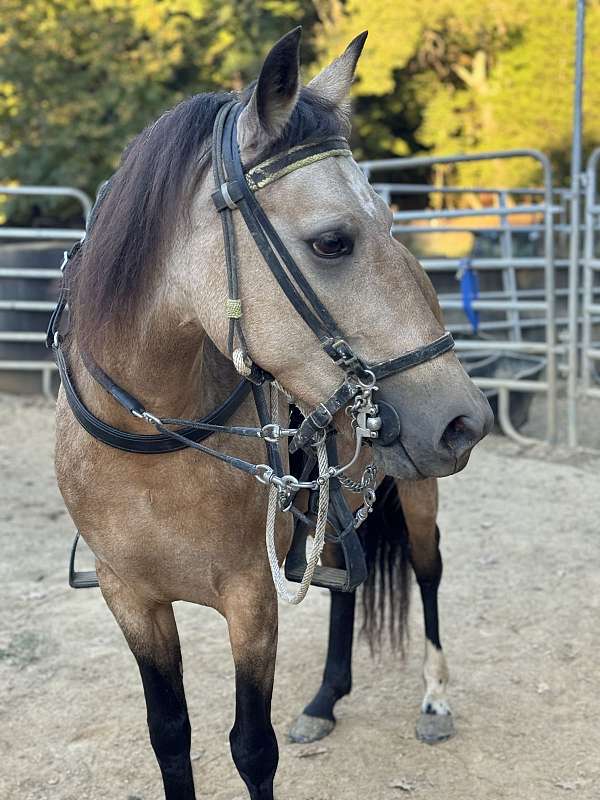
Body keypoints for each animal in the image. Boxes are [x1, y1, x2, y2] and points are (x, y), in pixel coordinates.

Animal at [51, 26, 492, 800]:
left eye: (386, 223)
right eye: (331, 241)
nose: (465, 421)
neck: (153, 444)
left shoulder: (250, 599)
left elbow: (252, 748)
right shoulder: (129, 597)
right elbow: (170, 736)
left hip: (417, 493)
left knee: (428, 568)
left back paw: (434, 697)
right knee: (346, 582)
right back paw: (324, 700)